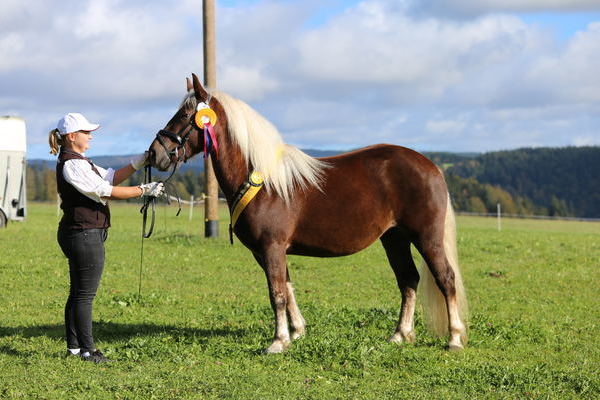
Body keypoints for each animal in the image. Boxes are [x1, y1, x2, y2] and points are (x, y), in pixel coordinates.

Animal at [148, 73, 466, 352]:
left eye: (185, 116)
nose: (154, 154)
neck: (263, 180)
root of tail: (431, 166)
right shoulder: (268, 251)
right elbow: (287, 288)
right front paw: (296, 332)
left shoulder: (272, 247)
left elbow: (276, 293)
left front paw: (278, 342)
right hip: (394, 238)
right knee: (409, 279)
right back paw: (400, 334)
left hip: (426, 238)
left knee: (446, 278)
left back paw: (454, 338)